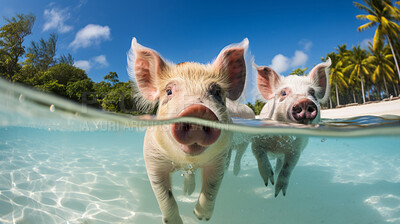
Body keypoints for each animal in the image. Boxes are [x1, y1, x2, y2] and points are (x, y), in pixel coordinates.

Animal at [127, 37, 250, 223]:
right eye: (169, 91)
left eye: (217, 92)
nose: (198, 110)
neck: (186, 159)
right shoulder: (152, 158)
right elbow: (163, 193)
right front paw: (175, 221)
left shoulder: (220, 159)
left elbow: (212, 186)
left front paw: (201, 217)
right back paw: (186, 192)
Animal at [253, 58, 332, 197]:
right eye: (283, 93)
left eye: (312, 93)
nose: (304, 101)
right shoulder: (256, 139)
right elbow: (259, 153)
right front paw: (268, 182)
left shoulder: (296, 149)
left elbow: (288, 167)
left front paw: (279, 193)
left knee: (280, 163)